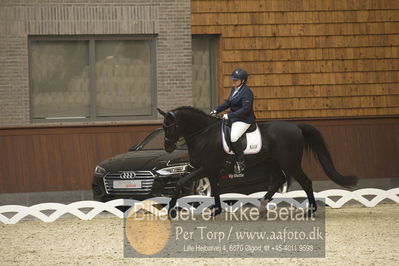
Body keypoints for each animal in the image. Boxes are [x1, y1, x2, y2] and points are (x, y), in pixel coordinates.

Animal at [157, 107, 360, 217]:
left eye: (171, 127)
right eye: (163, 127)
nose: (168, 147)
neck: (204, 134)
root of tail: (296, 127)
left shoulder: (206, 168)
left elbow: (182, 182)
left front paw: (171, 211)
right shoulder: (210, 169)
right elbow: (213, 189)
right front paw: (215, 210)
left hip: (290, 163)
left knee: (305, 182)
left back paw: (310, 211)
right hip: (272, 162)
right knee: (278, 180)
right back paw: (262, 206)